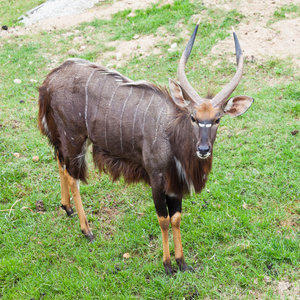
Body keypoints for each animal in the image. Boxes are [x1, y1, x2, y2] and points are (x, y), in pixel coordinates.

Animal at [37, 20, 253, 274]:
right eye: (193, 117)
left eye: (217, 119)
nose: (203, 149)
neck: (171, 132)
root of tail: (50, 80)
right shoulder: (156, 179)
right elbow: (163, 219)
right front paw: (168, 265)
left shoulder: (175, 185)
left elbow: (176, 218)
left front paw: (182, 263)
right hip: (74, 138)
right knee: (73, 176)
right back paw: (87, 230)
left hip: (66, 138)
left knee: (60, 161)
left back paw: (67, 208)